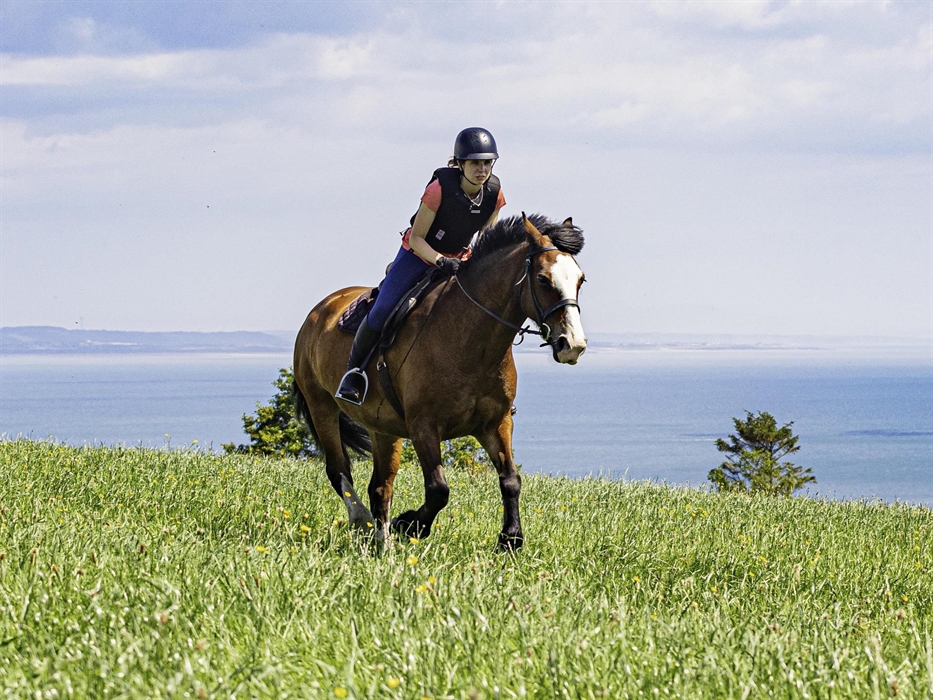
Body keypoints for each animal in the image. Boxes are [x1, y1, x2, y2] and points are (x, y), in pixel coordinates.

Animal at [293, 213, 586, 550]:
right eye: (542, 279)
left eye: (580, 280)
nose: (573, 344)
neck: (468, 338)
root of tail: (321, 309)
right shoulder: (424, 427)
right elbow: (438, 490)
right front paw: (411, 524)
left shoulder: (496, 423)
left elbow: (511, 480)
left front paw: (510, 538)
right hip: (321, 406)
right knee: (339, 469)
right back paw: (362, 519)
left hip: (382, 428)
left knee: (381, 486)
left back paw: (383, 540)